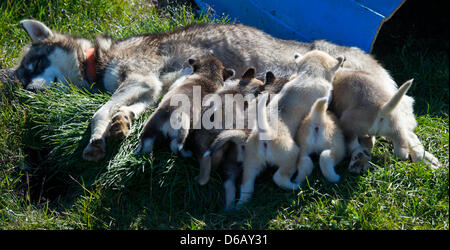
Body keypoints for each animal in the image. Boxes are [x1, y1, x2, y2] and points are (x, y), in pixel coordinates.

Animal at [14, 19, 436, 174]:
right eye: (22, 75)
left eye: (33, 63)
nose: (26, 89)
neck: (98, 59)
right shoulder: (149, 91)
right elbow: (125, 112)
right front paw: (121, 125)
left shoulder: (140, 79)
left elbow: (98, 112)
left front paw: (97, 139)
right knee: (366, 137)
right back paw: (361, 158)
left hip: (371, 98)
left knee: (406, 135)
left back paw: (421, 157)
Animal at [236, 49, 344, 206]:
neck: (309, 74)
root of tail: (265, 134)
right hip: (290, 156)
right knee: (279, 177)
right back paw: (295, 186)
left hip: (251, 162)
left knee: (246, 185)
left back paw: (240, 204)